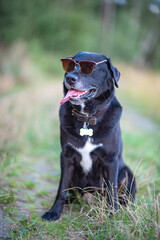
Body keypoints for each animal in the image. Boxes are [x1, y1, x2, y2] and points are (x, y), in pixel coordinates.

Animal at [41, 51, 136, 220]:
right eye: (70, 65)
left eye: (89, 68)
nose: (69, 78)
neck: (86, 118)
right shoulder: (66, 157)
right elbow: (61, 188)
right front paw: (54, 212)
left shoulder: (110, 160)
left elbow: (112, 191)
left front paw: (112, 215)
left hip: (128, 173)